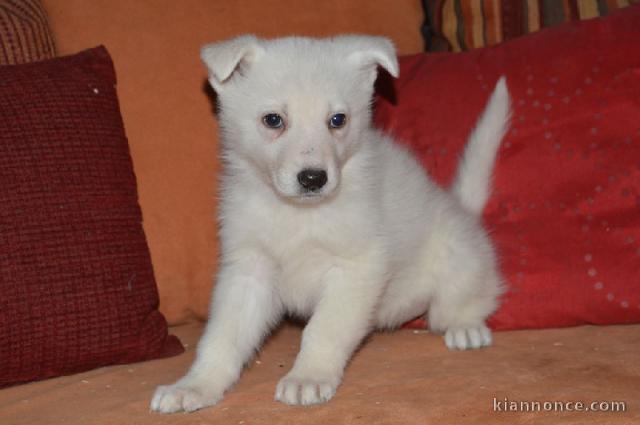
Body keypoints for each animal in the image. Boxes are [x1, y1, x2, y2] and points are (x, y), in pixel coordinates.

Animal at [150, 34, 510, 412]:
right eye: (273, 120)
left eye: (338, 120)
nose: (313, 178)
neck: (298, 214)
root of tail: (461, 209)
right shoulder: (249, 270)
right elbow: (222, 337)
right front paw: (195, 385)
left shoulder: (355, 269)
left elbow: (323, 330)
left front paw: (308, 376)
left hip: (457, 265)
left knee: (470, 301)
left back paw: (467, 328)